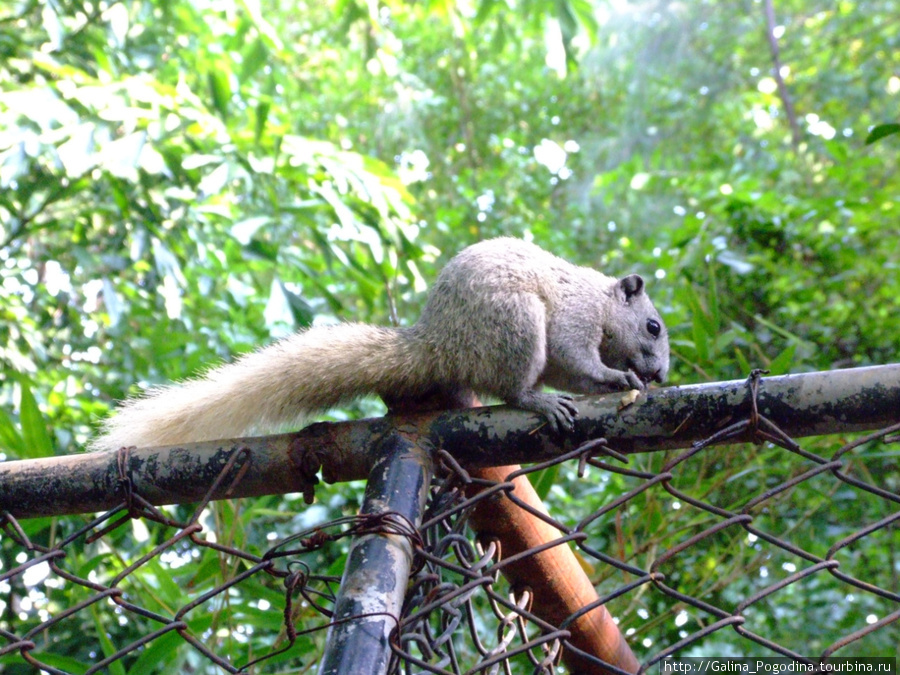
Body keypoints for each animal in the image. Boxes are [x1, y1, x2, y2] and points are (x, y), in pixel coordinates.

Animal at [91, 236, 668, 448]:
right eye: (653, 327)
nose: (661, 373)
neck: (602, 303)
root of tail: (438, 344)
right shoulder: (574, 317)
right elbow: (576, 359)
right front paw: (617, 376)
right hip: (516, 324)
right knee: (513, 386)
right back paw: (537, 401)